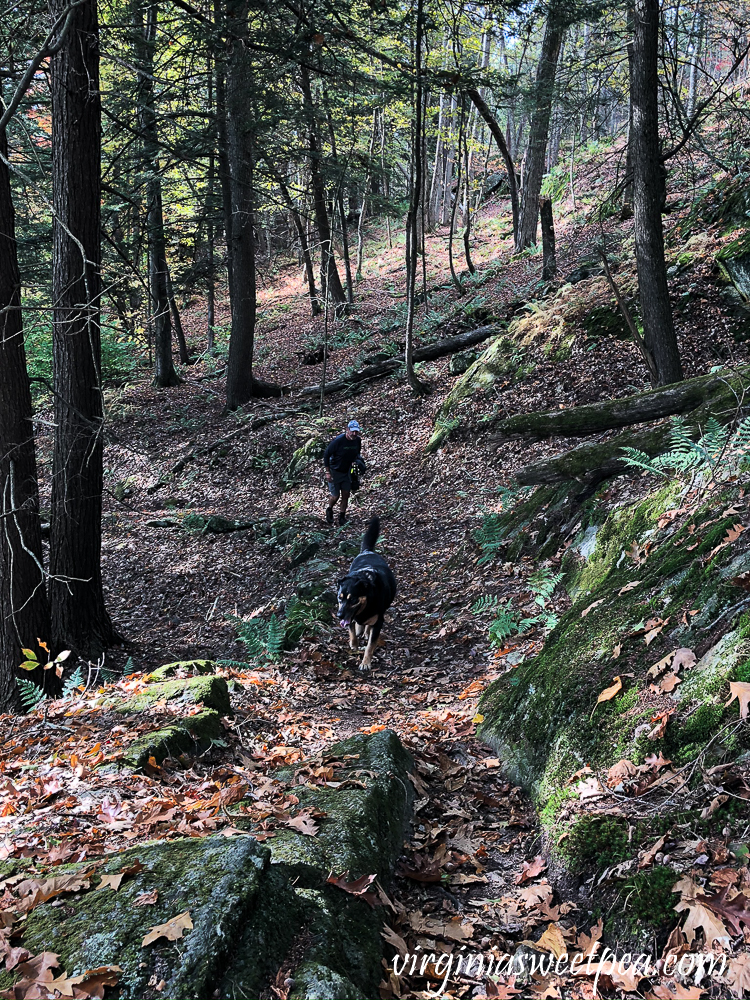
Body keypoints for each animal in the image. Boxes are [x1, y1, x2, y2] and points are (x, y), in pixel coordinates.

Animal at [340, 516, 396, 672]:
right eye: (339, 598)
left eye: (352, 599)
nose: (339, 615)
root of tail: (367, 551)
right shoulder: (350, 616)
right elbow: (352, 629)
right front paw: (354, 643)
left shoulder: (378, 622)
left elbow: (370, 645)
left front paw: (365, 663)